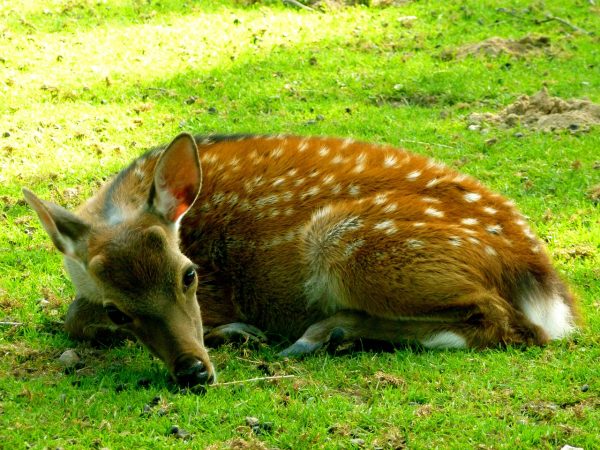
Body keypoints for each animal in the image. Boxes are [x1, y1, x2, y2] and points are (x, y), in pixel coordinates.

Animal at [22, 131, 576, 386]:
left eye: (190, 275)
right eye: (119, 310)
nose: (193, 370)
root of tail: (539, 273)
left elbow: (74, 319)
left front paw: (238, 332)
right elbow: (76, 317)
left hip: (349, 243)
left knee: (508, 324)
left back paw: (324, 334)